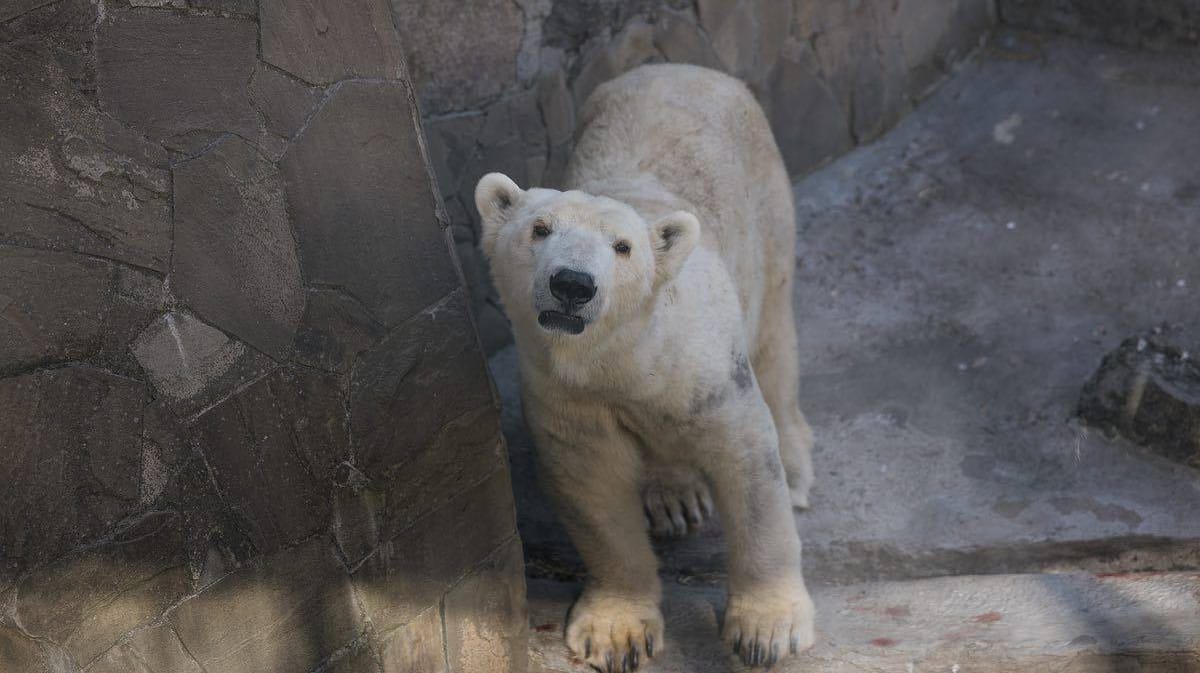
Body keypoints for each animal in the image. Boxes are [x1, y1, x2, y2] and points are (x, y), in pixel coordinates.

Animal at [477, 61, 816, 667]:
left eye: (623, 247)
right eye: (540, 229)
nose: (572, 284)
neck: (634, 355)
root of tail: (681, 67)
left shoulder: (708, 376)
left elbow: (750, 469)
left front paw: (767, 629)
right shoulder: (567, 398)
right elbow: (595, 492)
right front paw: (616, 633)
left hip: (767, 203)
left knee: (775, 332)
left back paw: (795, 463)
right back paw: (674, 496)